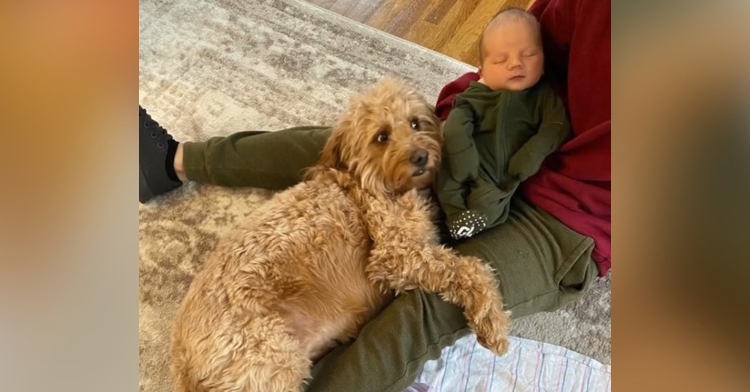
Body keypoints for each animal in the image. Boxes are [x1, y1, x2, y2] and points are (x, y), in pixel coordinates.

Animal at [170, 79, 512, 392]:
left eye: (416, 123)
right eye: (381, 137)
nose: (420, 157)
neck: (375, 183)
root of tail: (183, 363)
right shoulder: (395, 256)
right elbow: (471, 268)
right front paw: (493, 320)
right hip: (272, 364)